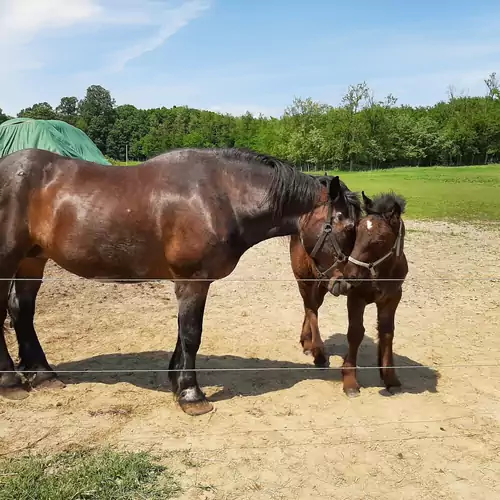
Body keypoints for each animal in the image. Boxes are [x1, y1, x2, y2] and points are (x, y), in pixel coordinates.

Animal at [1, 146, 358, 416]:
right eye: (347, 227)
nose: (345, 284)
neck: (220, 195)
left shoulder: (191, 283)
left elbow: (183, 332)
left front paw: (176, 381)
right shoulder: (193, 280)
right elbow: (191, 334)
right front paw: (191, 394)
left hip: (32, 259)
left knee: (21, 310)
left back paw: (42, 375)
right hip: (8, 260)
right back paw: (10, 381)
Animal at [292, 189, 408, 396]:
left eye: (379, 240)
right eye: (356, 232)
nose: (350, 274)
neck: (382, 272)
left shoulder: (392, 297)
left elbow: (387, 332)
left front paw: (390, 378)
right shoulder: (356, 298)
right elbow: (355, 332)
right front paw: (350, 381)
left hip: (325, 285)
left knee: (310, 308)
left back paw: (307, 344)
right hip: (306, 280)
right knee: (311, 309)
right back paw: (318, 353)